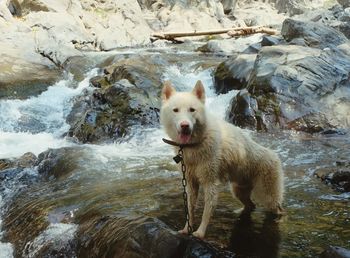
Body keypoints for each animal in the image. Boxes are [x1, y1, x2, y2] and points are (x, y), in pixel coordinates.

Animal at [160, 79, 284, 239]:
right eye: (175, 110)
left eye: (192, 110)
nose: (185, 126)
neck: (196, 143)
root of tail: (274, 155)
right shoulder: (191, 183)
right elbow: (190, 209)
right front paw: (187, 229)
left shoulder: (211, 183)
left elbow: (206, 211)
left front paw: (200, 233)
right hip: (238, 190)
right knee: (251, 205)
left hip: (268, 196)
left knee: (277, 209)